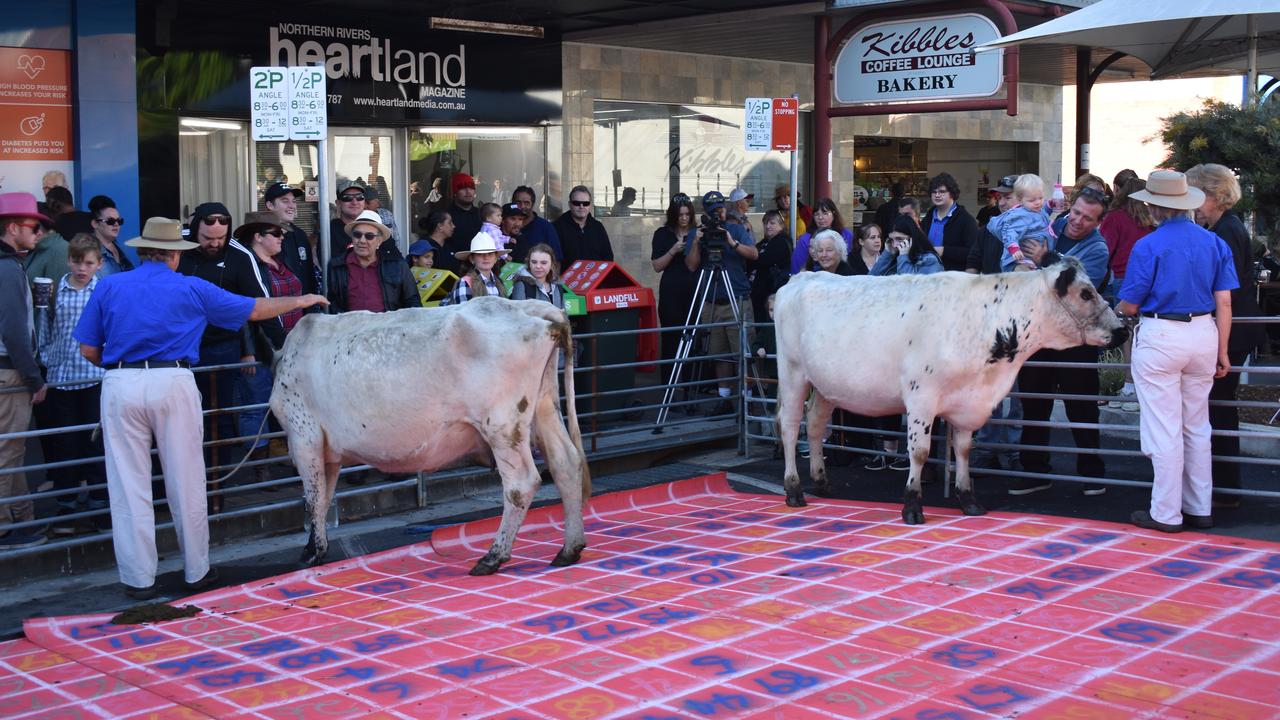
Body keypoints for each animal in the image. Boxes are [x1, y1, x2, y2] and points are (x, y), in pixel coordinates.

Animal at [273, 295, 588, 571]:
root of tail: (531, 307)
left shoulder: (304, 437)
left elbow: (313, 497)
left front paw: (312, 552)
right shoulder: (328, 450)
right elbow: (325, 497)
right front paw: (315, 547)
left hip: (503, 426)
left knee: (521, 483)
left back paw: (493, 556)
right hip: (543, 409)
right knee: (565, 463)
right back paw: (569, 549)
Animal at [773, 257, 1126, 520]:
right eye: (1085, 293)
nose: (1122, 329)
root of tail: (801, 276)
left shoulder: (966, 402)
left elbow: (964, 450)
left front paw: (967, 498)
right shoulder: (921, 397)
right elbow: (919, 451)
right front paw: (912, 505)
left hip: (825, 384)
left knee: (815, 424)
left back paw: (821, 481)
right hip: (792, 374)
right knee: (789, 426)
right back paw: (793, 489)